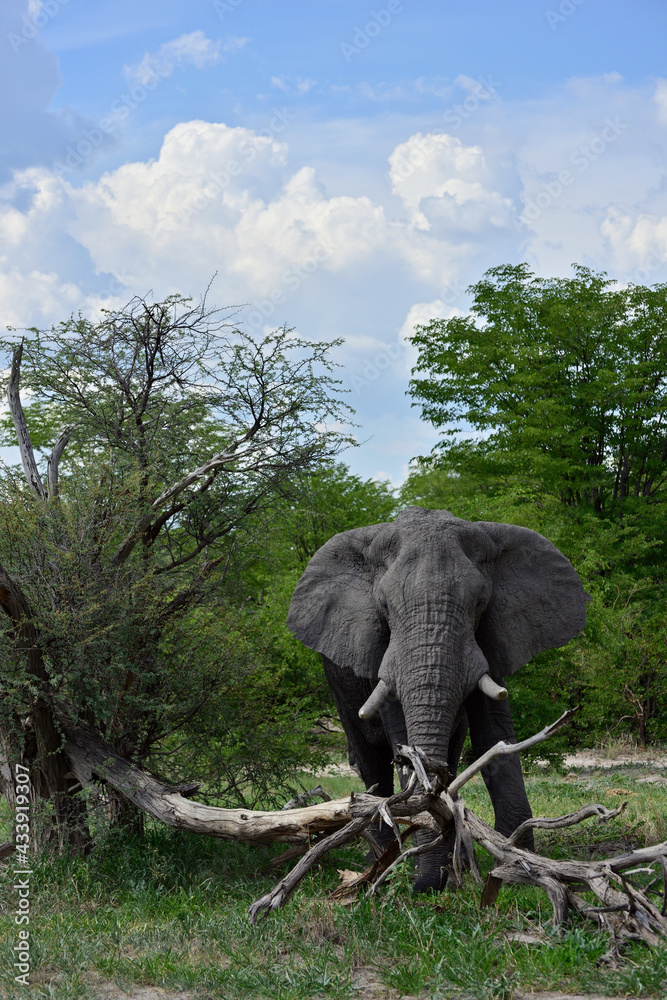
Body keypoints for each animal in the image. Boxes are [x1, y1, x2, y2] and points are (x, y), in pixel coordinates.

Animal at [287, 506, 589, 892]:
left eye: (479, 603)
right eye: (384, 607)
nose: (423, 888)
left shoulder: (492, 635)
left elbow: (495, 737)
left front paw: (518, 871)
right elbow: (401, 734)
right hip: (337, 682)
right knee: (371, 761)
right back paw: (380, 861)